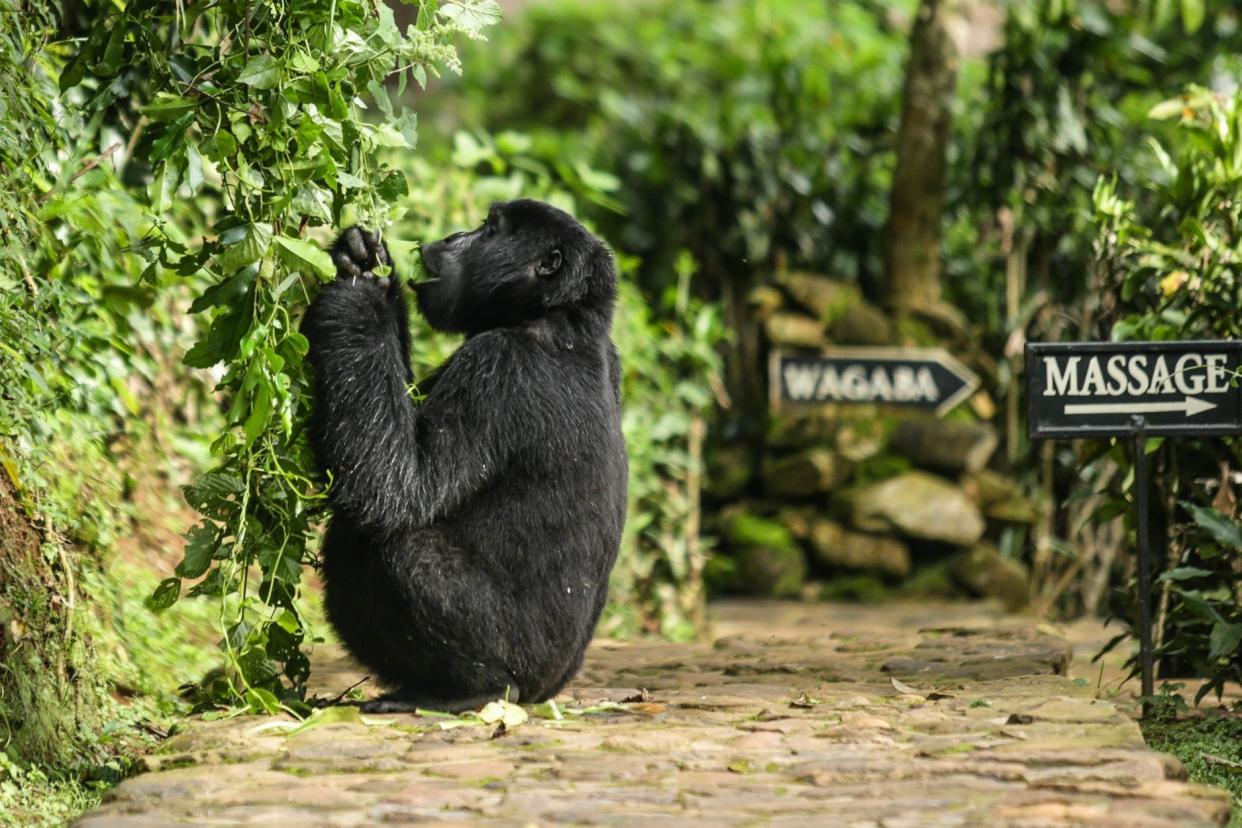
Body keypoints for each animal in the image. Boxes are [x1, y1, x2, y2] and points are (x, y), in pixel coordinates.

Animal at [301, 198, 630, 715]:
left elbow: (398, 484)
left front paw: (361, 290)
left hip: (518, 657)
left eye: (490, 229)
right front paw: (369, 261)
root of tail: (548, 690)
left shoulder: (498, 369)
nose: (455, 236)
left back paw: (475, 689)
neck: (557, 312)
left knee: (396, 547)